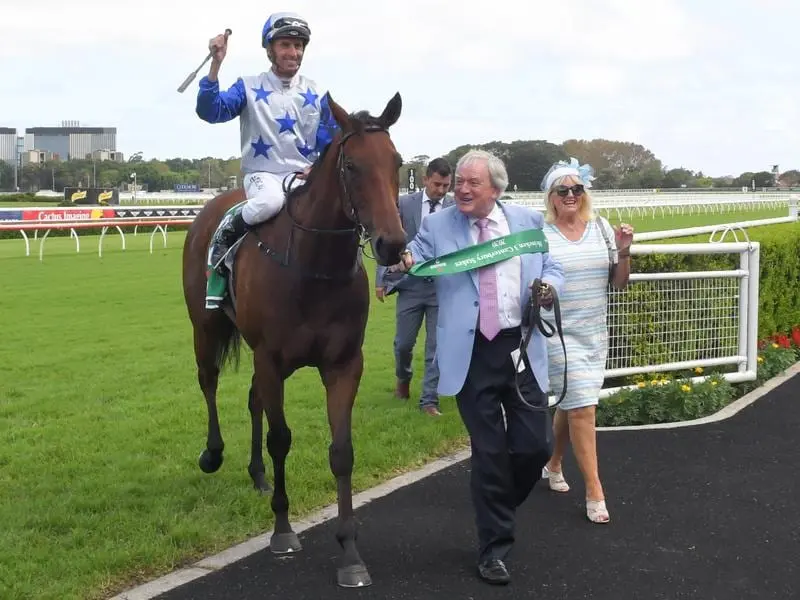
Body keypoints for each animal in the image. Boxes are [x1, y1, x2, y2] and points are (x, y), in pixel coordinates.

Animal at [181, 91, 406, 588]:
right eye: (352, 166)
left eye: (397, 162)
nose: (393, 244)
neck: (314, 267)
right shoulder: (270, 358)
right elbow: (281, 438)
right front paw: (282, 530)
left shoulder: (344, 363)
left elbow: (341, 451)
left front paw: (349, 552)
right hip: (206, 327)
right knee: (208, 381)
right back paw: (212, 453)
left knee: (252, 399)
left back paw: (258, 475)